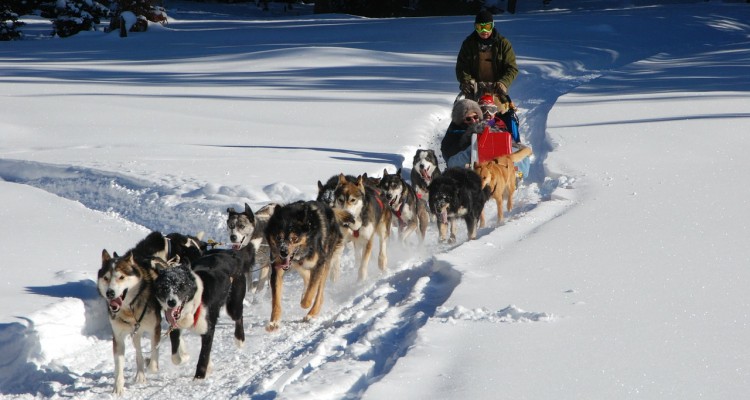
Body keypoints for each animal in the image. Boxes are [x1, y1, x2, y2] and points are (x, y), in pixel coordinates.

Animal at [268, 200, 356, 332]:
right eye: (279, 237)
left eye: (294, 238)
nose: (283, 252)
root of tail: (330, 210)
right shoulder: (277, 270)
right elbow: (276, 300)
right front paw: (274, 322)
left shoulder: (319, 264)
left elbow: (311, 291)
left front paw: (305, 303)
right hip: (300, 265)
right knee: (308, 278)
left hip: (325, 262)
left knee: (319, 293)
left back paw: (311, 313)